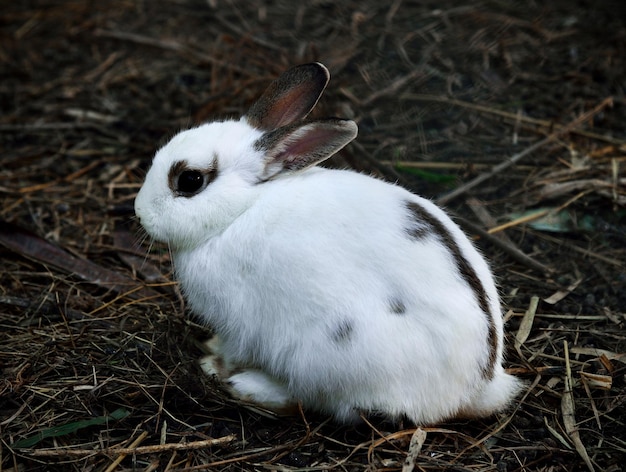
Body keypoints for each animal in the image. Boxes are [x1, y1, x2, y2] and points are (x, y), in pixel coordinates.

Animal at [134, 62, 520, 424]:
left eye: (190, 180)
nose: (139, 212)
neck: (242, 210)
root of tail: (476, 386)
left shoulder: (238, 322)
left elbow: (233, 350)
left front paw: (212, 364)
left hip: (324, 360)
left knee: (314, 402)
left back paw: (250, 386)